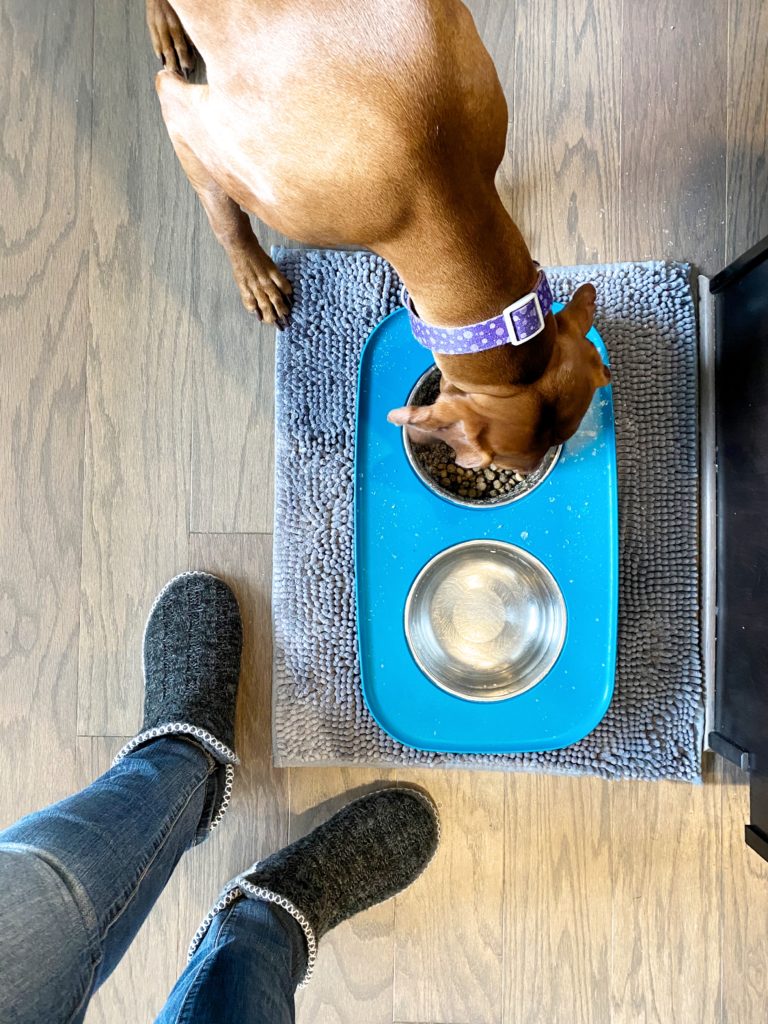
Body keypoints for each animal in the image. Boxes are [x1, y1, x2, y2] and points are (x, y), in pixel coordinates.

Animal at [147, 0, 610, 471]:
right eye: (496, 465)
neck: (431, 179)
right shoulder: (193, 121)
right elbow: (226, 216)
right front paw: (255, 277)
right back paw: (165, 25)